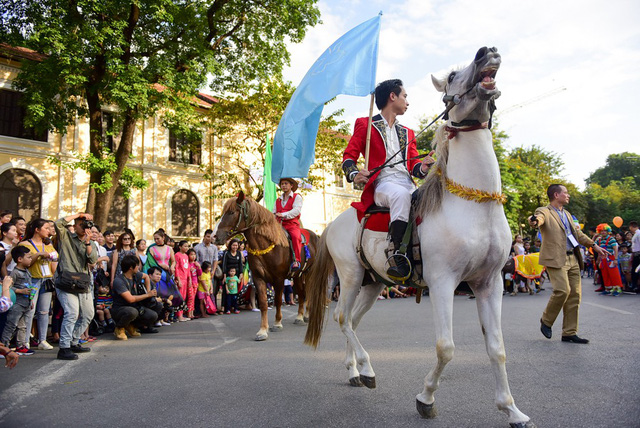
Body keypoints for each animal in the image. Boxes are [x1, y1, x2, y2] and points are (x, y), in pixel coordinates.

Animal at [212, 191, 318, 342]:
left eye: (231, 212)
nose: (214, 236)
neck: (265, 245)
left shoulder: (279, 279)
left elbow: (278, 301)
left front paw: (277, 324)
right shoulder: (258, 278)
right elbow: (263, 303)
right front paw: (262, 330)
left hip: (309, 273)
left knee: (308, 292)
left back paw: (307, 315)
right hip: (298, 275)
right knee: (302, 294)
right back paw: (299, 316)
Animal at [304, 47, 536, 428]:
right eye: (454, 75)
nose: (487, 52)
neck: (474, 203)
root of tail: (333, 224)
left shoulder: (490, 283)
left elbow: (498, 349)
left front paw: (512, 410)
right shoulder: (443, 282)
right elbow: (446, 347)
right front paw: (425, 398)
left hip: (373, 282)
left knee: (351, 321)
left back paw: (355, 371)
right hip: (350, 276)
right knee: (341, 318)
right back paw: (366, 368)